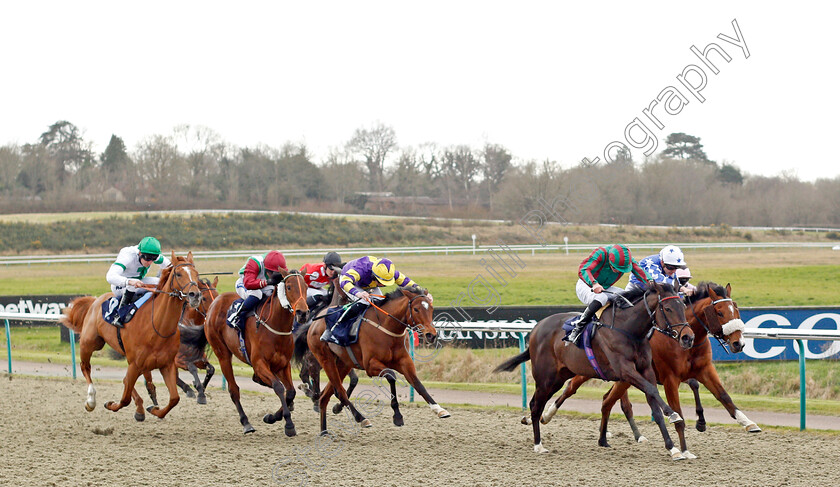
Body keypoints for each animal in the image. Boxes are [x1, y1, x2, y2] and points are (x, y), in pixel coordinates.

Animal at [58, 254, 202, 422]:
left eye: (196, 273)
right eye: (178, 274)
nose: (195, 295)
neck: (157, 326)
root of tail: (95, 300)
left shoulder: (166, 364)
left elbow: (174, 398)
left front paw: (154, 410)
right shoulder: (135, 364)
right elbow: (125, 398)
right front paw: (111, 404)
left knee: (129, 380)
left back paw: (143, 404)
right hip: (90, 343)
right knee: (85, 367)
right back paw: (91, 400)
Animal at [203, 270, 308, 434]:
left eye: (306, 287)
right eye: (289, 287)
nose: (303, 313)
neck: (275, 327)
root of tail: (215, 301)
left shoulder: (283, 365)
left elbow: (290, 392)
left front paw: (273, 416)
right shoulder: (259, 363)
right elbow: (279, 387)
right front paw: (288, 424)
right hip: (222, 354)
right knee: (233, 389)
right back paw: (246, 423)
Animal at [304, 286, 446, 434]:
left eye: (431, 308)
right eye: (416, 309)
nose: (431, 335)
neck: (387, 327)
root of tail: (313, 323)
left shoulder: (404, 362)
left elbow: (418, 384)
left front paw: (439, 409)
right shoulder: (370, 365)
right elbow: (391, 376)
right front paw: (397, 416)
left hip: (344, 364)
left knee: (325, 396)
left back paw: (324, 431)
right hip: (326, 360)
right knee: (340, 391)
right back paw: (361, 418)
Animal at [492, 282, 696, 462]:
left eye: (682, 305)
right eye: (668, 309)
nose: (688, 337)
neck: (629, 329)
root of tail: (536, 328)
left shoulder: (646, 371)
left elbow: (654, 404)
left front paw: (673, 449)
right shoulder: (625, 371)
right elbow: (653, 392)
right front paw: (673, 414)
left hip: (559, 376)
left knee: (540, 402)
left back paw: (539, 420)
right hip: (545, 378)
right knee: (536, 405)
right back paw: (538, 444)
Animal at [540, 282, 756, 462]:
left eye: (736, 309)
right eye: (719, 312)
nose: (738, 343)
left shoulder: (704, 369)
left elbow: (723, 395)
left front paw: (748, 423)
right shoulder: (670, 379)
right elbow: (678, 415)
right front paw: (684, 449)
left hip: (623, 380)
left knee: (608, 401)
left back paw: (607, 438)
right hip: (589, 370)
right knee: (571, 388)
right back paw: (546, 415)